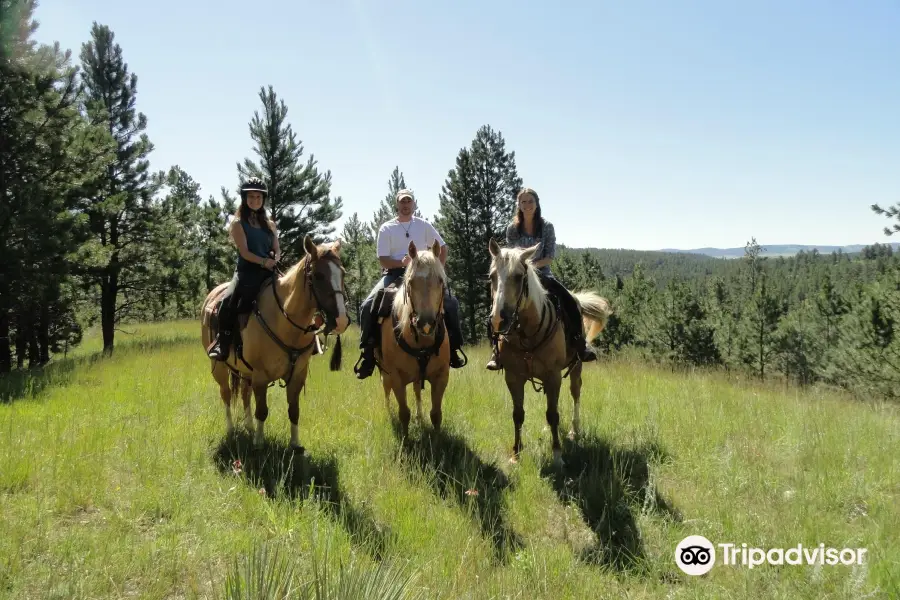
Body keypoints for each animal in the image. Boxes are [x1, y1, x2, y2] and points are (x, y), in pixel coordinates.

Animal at [199, 234, 350, 450]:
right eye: (318, 275)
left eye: (343, 273)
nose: (342, 320)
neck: (283, 319)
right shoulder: (260, 376)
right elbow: (262, 410)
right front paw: (259, 443)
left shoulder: (297, 375)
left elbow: (294, 410)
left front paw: (295, 443)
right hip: (218, 366)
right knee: (226, 394)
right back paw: (231, 429)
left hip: (245, 371)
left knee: (244, 393)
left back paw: (249, 426)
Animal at [376, 240, 454, 440]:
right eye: (410, 282)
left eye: (440, 280)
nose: (425, 324)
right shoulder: (395, 376)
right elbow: (404, 413)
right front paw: (405, 440)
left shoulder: (441, 376)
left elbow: (436, 413)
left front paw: (437, 441)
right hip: (385, 373)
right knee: (386, 390)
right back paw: (389, 413)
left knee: (417, 390)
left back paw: (419, 418)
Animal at [492, 238, 612, 464]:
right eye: (492, 276)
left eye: (519, 277)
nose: (498, 319)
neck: (528, 334)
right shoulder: (513, 377)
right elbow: (518, 414)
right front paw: (516, 454)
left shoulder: (553, 376)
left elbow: (553, 414)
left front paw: (557, 455)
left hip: (576, 367)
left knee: (575, 393)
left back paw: (574, 431)